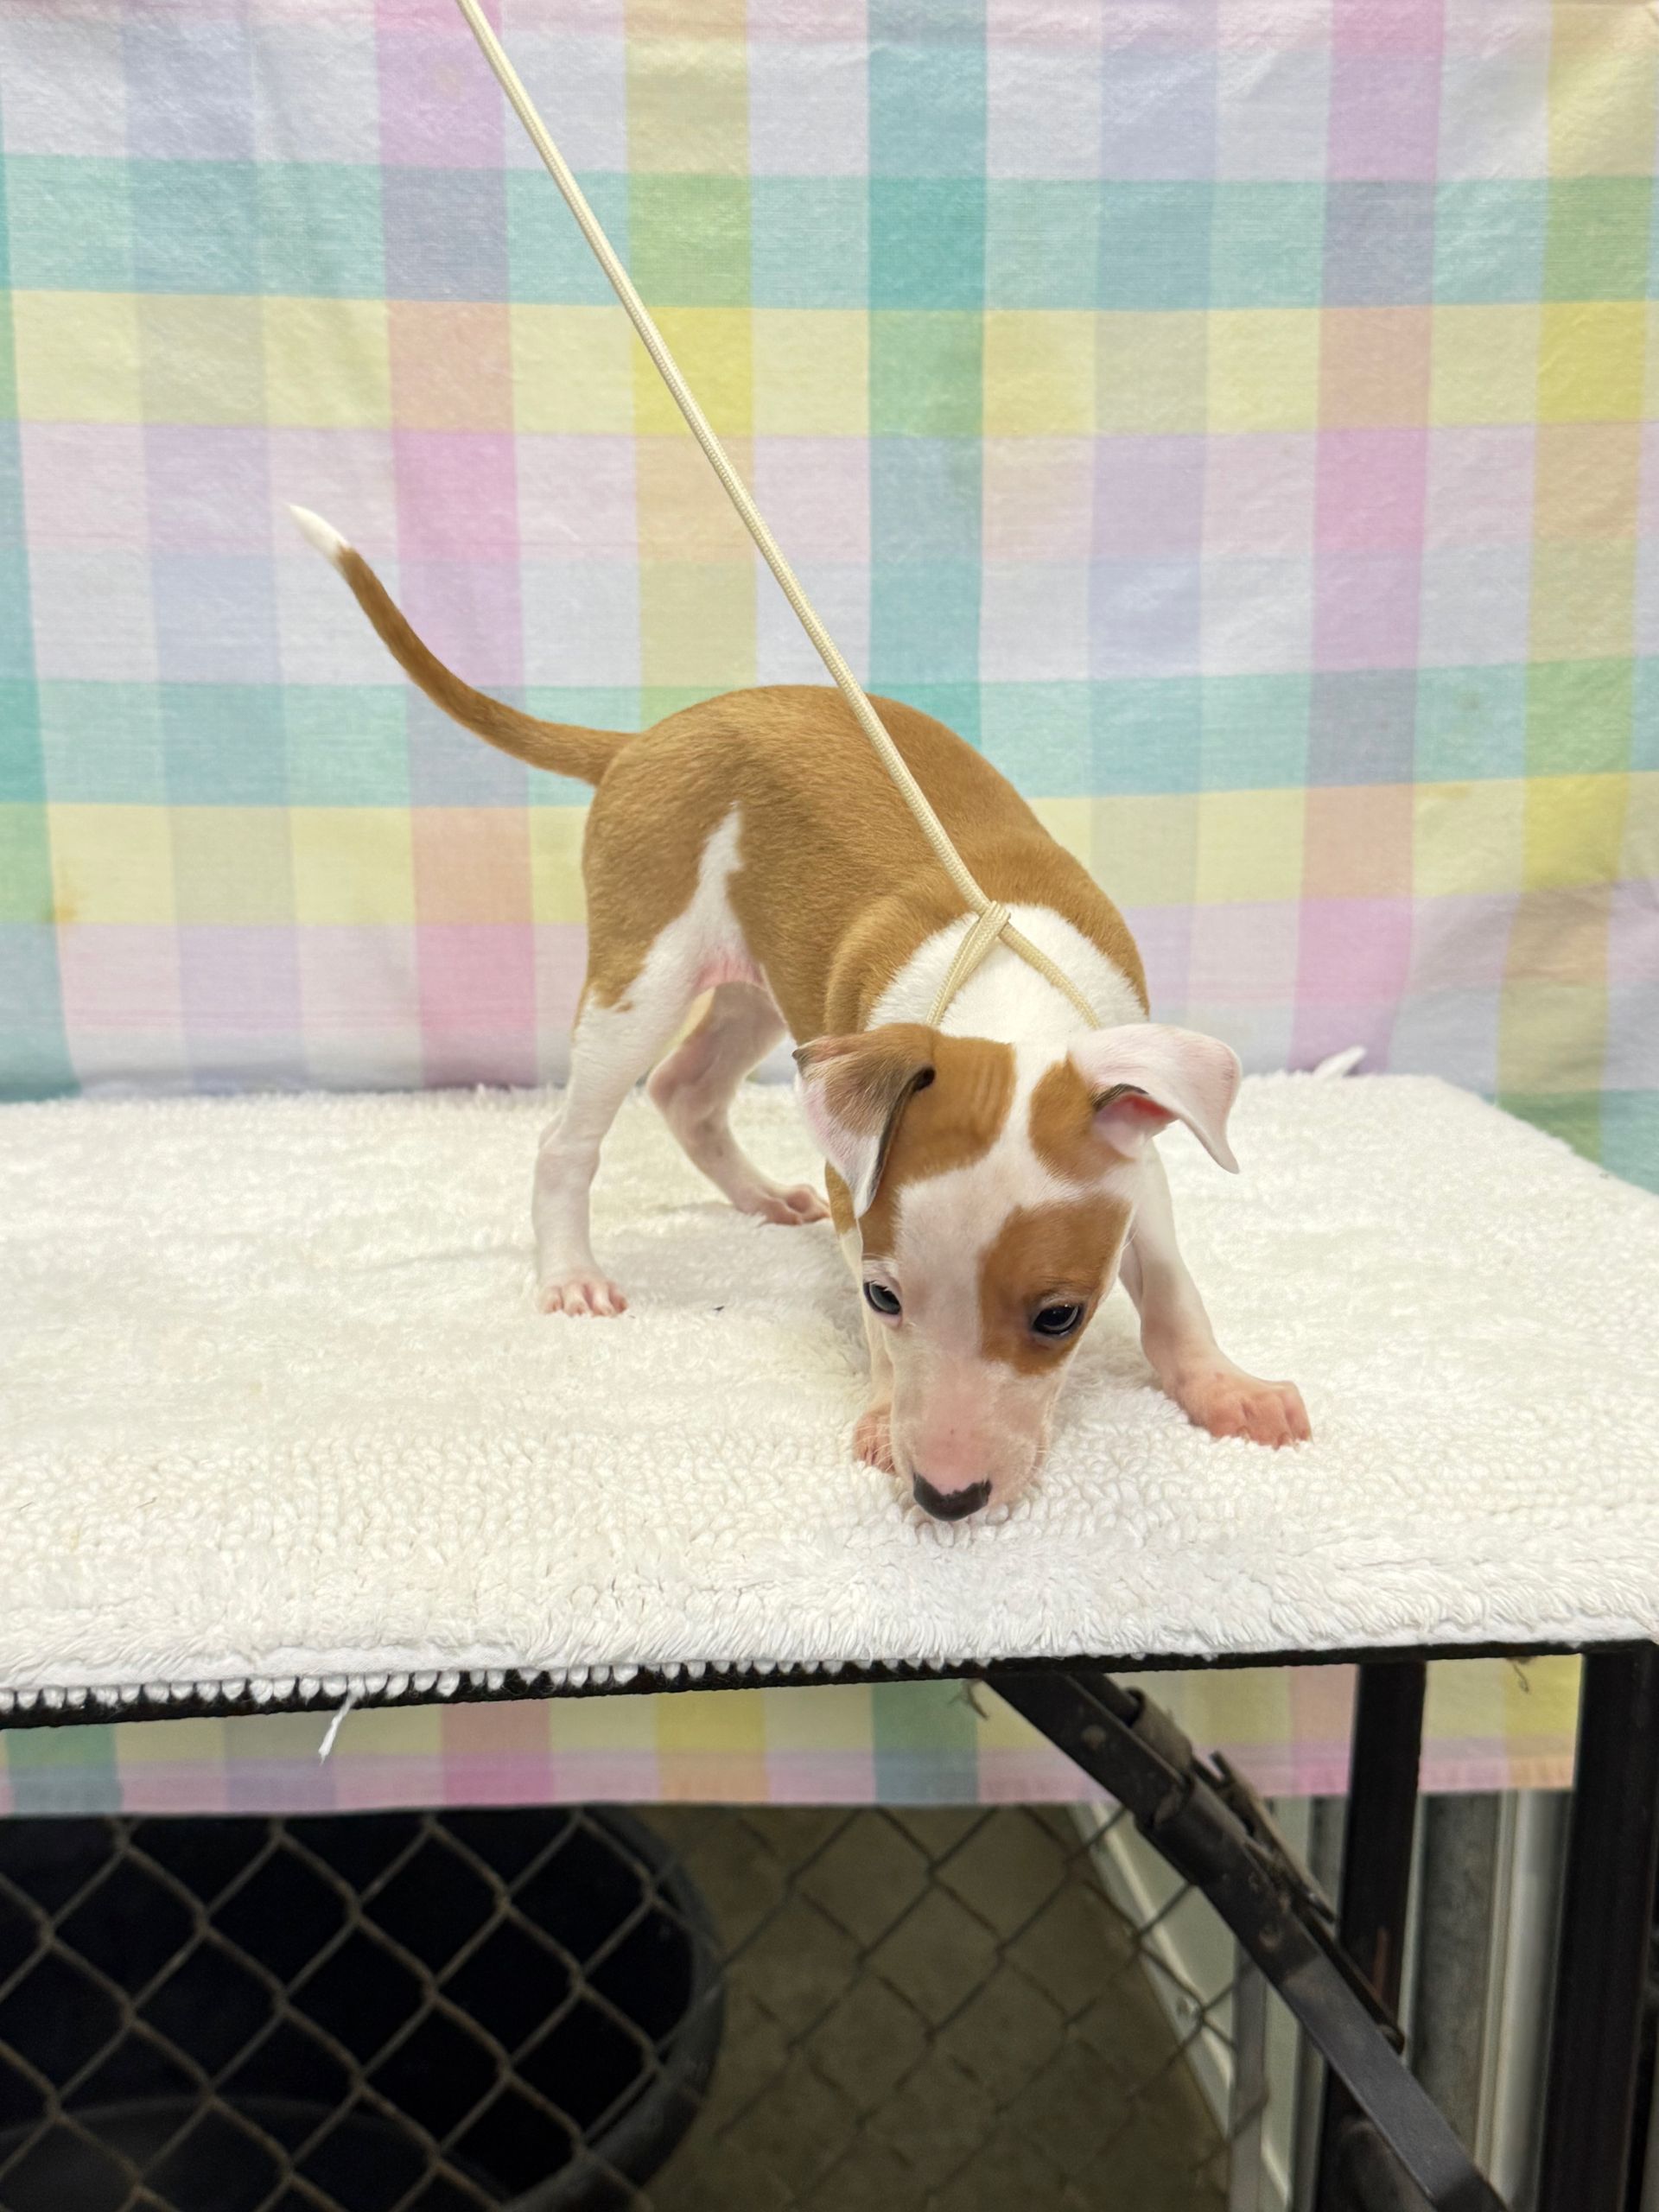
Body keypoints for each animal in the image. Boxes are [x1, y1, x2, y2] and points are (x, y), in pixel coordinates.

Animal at [292, 506, 1310, 1519]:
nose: (946, 1498)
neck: (1002, 1008)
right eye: (883, 1296)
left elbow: (1170, 1282)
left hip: (762, 983)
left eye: (1061, 1315)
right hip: (644, 972)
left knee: (687, 1088)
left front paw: (1225, 1385)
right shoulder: (856, 1190)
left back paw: (756, 1196)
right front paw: (883, 1413)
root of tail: (642, 741)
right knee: (572, 1136)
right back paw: (572, 1273)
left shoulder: (1134, 1155)